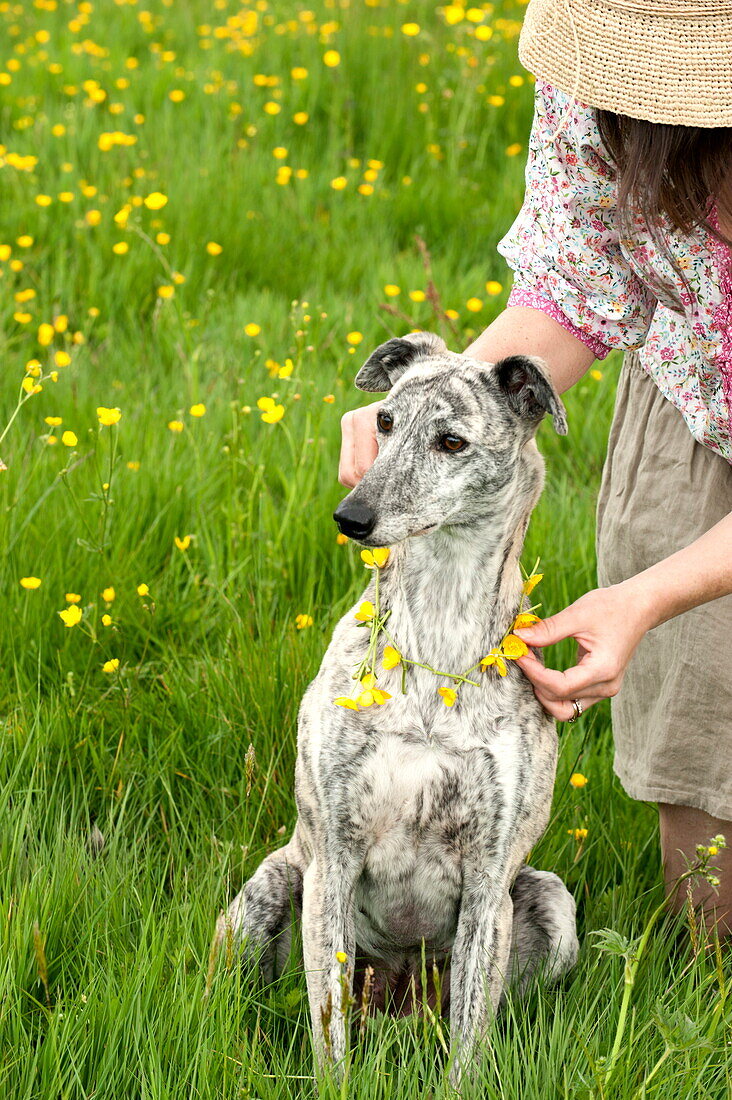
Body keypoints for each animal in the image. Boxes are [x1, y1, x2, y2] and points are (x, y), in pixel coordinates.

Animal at [216, 330, 576, 1086]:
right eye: (383, 422)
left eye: (451, 441)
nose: (350, 518)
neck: (436, 638)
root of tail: (398, 1000)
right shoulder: (332, 862)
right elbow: (329, 1036)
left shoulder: (489, 887)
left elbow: (469, 1050)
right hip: (267, 895)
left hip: (550, 908)